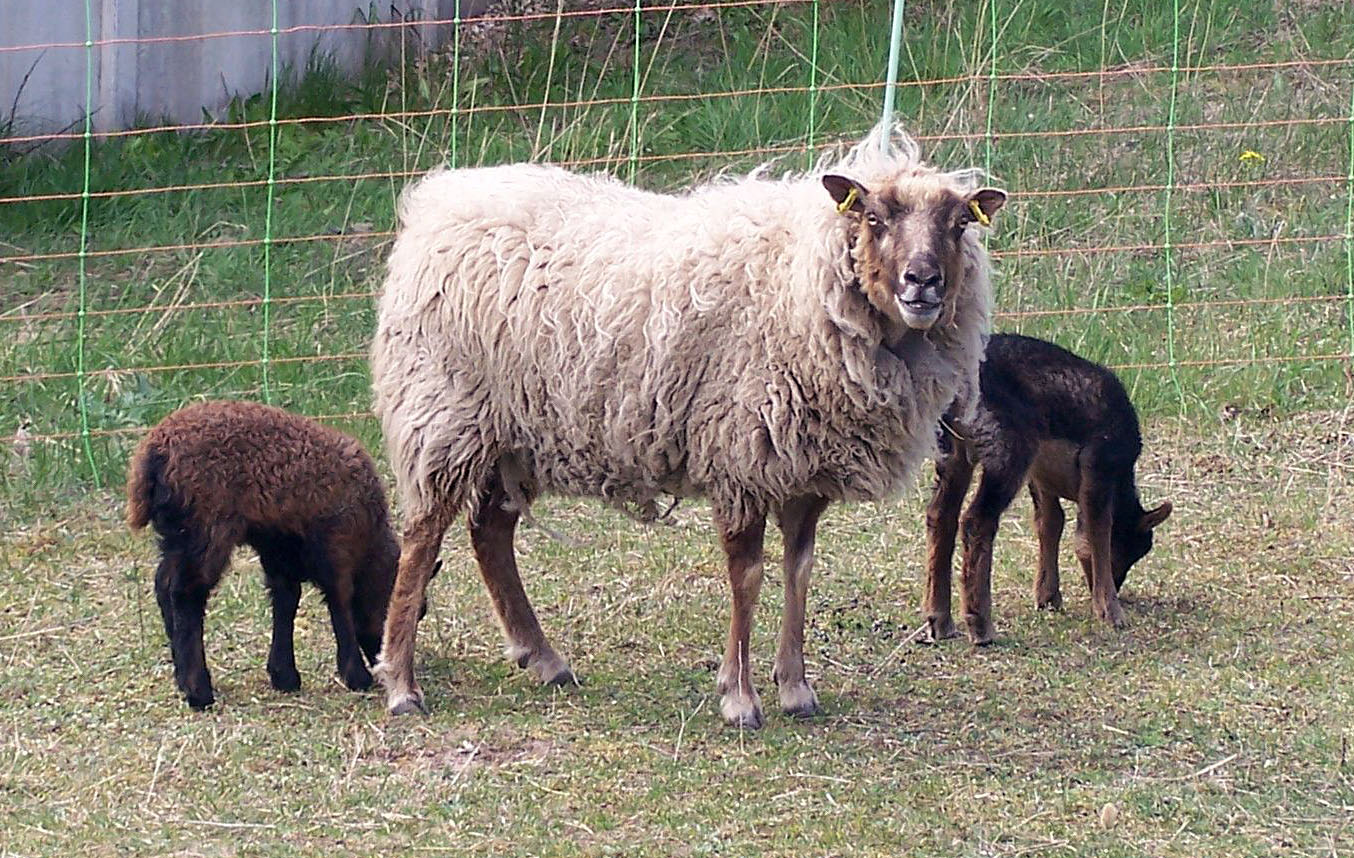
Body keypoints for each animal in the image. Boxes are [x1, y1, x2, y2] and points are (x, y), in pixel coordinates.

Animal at [125, 400, 400, 709]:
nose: (383, 664)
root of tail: (154, 453)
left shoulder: (279, 550)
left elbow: (285, 602)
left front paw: (284, 676)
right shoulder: (337, 544)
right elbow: (339, 602)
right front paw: (355, 675)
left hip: (179, 536)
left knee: (164, 585)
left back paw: (183, 678)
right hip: (207, 528)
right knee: (185, 594)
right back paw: (199, 691)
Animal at [370, 123, 1007, 725]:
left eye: (958, 225)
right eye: (874, 217)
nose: (922, 282)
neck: (801, 279)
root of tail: (438, 200)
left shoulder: (804, 469)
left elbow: (798, 572)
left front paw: (796, 688)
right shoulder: (744, 457)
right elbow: (747, 577)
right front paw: (740, 698)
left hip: (516, 433)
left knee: (490, 533)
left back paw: (543, 658)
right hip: (444, 414)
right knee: (423, 540)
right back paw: (401, 683)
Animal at [920, 332, 1175, 641]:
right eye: (1129, 549)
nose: (1118, 585)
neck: (1122, 478)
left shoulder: (1040, 477)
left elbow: (1051, 522)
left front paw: (1048, 597)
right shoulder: (1099, 462)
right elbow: (1097, 532)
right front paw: (1110, 611)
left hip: (952, 448)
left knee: (940, 515)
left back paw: (940, 620)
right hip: (1009, 446)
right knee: (976, 521)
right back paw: (980, 626)